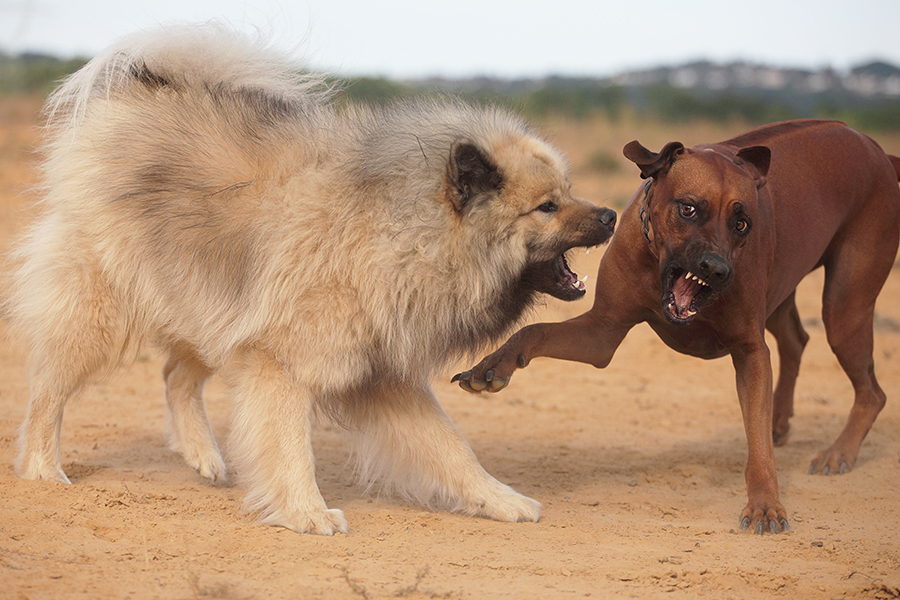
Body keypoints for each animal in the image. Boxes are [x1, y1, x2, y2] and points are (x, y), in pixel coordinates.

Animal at [458, 119, 900, 532]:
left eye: (742, 223)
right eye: (688, 209)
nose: (717, 270)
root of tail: (878, 150)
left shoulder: (750, 350)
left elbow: (758, 446)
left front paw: (765, 504)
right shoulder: (602, 333)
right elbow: (534, 331)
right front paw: (490, 366)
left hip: (844, 307)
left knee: (873, 392)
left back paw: (839, 453)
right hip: (787, 290)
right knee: (796, 338)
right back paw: (780, 419)